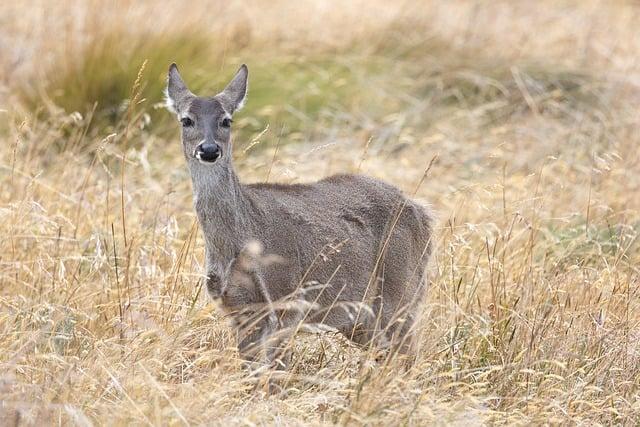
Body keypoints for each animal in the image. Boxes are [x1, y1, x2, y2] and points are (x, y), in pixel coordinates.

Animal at [165, 63, 436, 372]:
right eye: (186, 120)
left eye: (226, 120)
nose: (209, 150)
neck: (242, 236)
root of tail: (423, 213)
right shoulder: (238, 308)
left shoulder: (287, 299)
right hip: (361, 317)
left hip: (401, 288)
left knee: (408, 356)